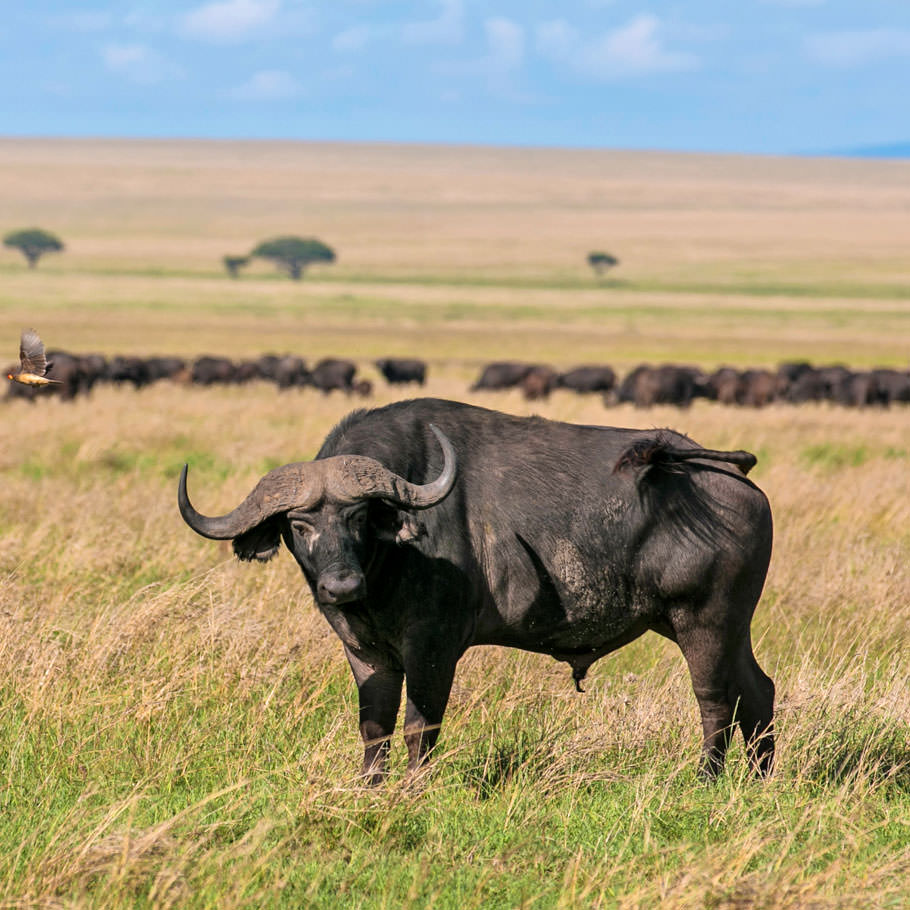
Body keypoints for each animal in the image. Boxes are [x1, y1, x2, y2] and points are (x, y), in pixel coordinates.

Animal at [180, 400, 776, 784]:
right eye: (299, 524)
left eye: (359, 516)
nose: (341, 585)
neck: (388, 563)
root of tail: (735, 480)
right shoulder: (364, 651)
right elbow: (374, 726)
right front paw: (369, 789)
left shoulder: (434, 646)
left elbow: (421, 727)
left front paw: (413, 790)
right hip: (725, 626)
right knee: (758, 690)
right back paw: (761, 778)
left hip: (703, 620)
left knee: (715, 699)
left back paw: (705, 780)